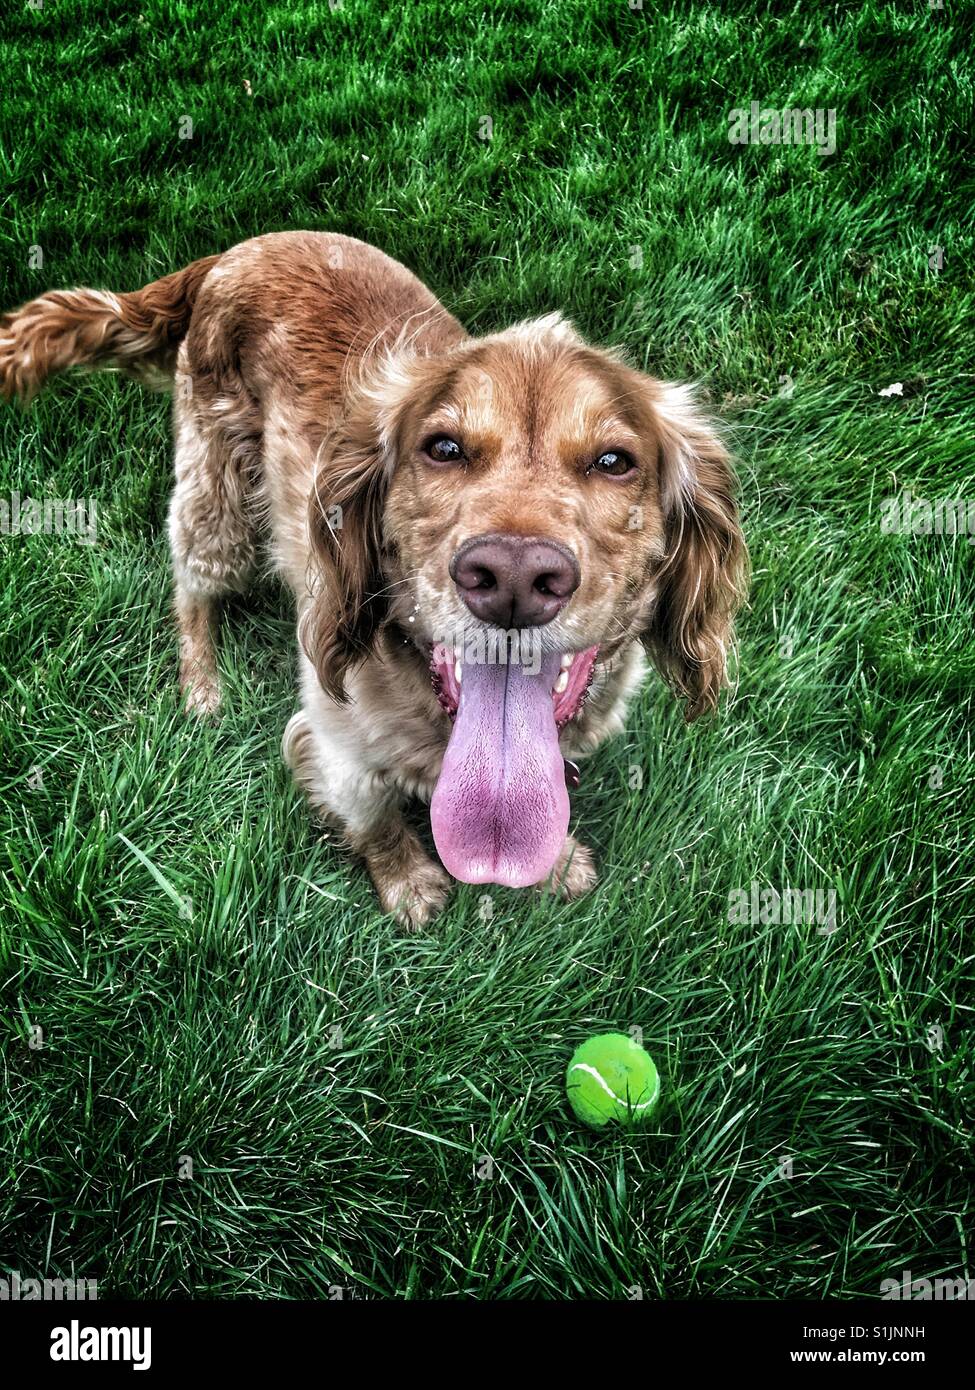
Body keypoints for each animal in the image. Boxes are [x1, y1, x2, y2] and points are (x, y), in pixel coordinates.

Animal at [0, 233, 745, 928]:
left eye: (614, 461)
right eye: (443, 448)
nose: (511, 577)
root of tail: (232, 252)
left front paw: (556, 863)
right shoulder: (336, 744)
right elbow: (375, 821)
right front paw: (408, 885)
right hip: (218, 502)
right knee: (190, 590)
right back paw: (203, 686)